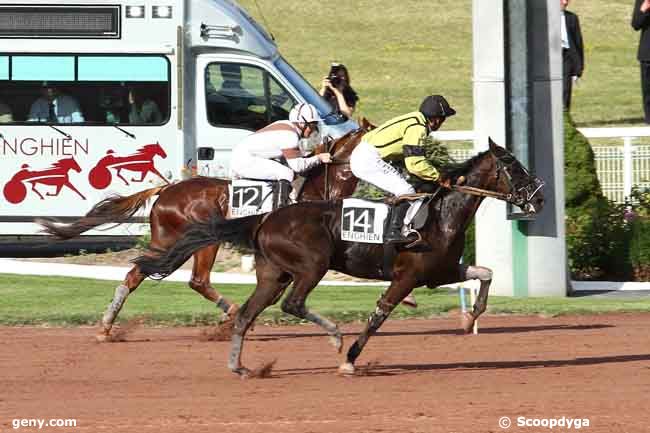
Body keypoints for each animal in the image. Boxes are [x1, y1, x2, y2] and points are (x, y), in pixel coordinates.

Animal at [39, 127, 364, 340]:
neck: (314, 193)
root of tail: (166, 189)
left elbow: (272, 294)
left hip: (167, 241)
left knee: (136, 275)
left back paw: (106, 327)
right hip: (200, 240)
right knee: (197, 280)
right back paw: (229, 310)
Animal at [135, 138, 540, 374]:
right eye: (513, 166)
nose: (539, 193)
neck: (440, 216)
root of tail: (265, 218)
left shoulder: (439, 272)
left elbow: (485, 273)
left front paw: (472, 316)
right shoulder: (407, 276)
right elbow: (379, 315)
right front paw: (350, 360)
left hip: (273, 274)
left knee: (249, 313)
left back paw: (241, 366)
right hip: (311, 265)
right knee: (292, 304)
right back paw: (333, 337)